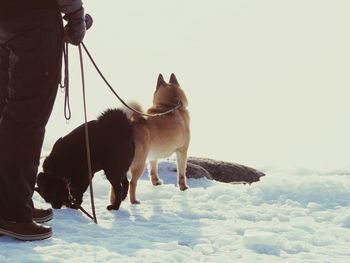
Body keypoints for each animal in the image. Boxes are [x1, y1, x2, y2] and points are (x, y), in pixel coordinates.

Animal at [110, 73, 190, 205]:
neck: (170, 104)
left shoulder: (153, 156)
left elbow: (153, 170)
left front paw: (156, 182)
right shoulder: (182, 151)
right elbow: (182, 173)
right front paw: (183, 187)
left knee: (114, 185)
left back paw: (113, 202)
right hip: (139, 162)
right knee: (132, 183)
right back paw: (134, 201)